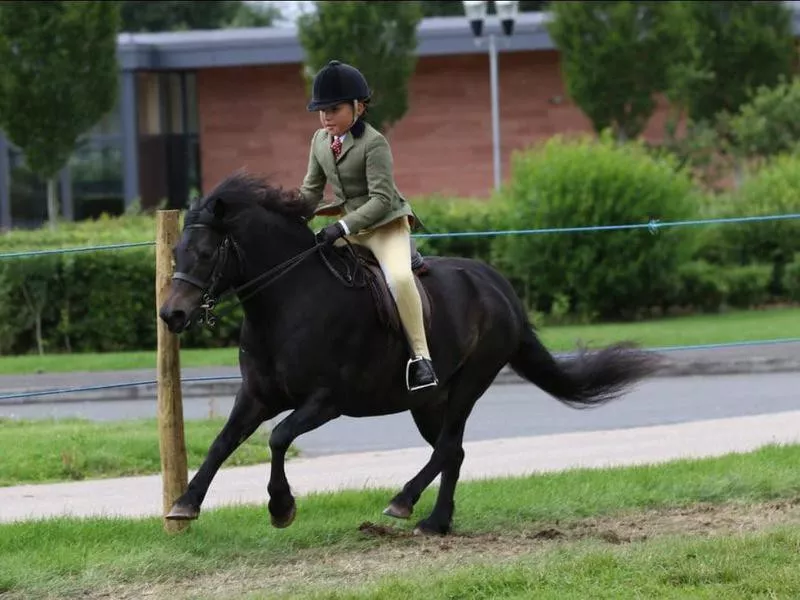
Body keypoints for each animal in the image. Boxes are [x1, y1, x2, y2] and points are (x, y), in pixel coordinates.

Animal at [158, 171, 664, 536]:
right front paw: (184, 505)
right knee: (452, 451)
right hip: (427, 402)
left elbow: (279, 438)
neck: (288, 301)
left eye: (207, 253)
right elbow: (223, 442)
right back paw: (436, 522)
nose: (171, 314)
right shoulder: (258, 395)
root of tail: (497, 285)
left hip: (469, 383)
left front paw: (281, 508)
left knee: (449, 445)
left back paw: (404, 502)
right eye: (177, 251)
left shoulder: (325, 401)